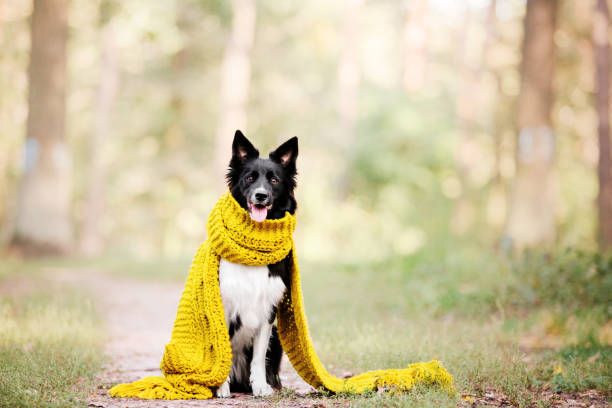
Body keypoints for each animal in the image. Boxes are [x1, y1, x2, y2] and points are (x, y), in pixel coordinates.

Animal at [216, 129, 298, 396]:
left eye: (274, 180)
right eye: (250, 178)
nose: (260, 196)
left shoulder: (268, 310)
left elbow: (259, 357)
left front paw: (261, 387)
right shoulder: (224, 305)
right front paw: (221, 388)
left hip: (278, 338)